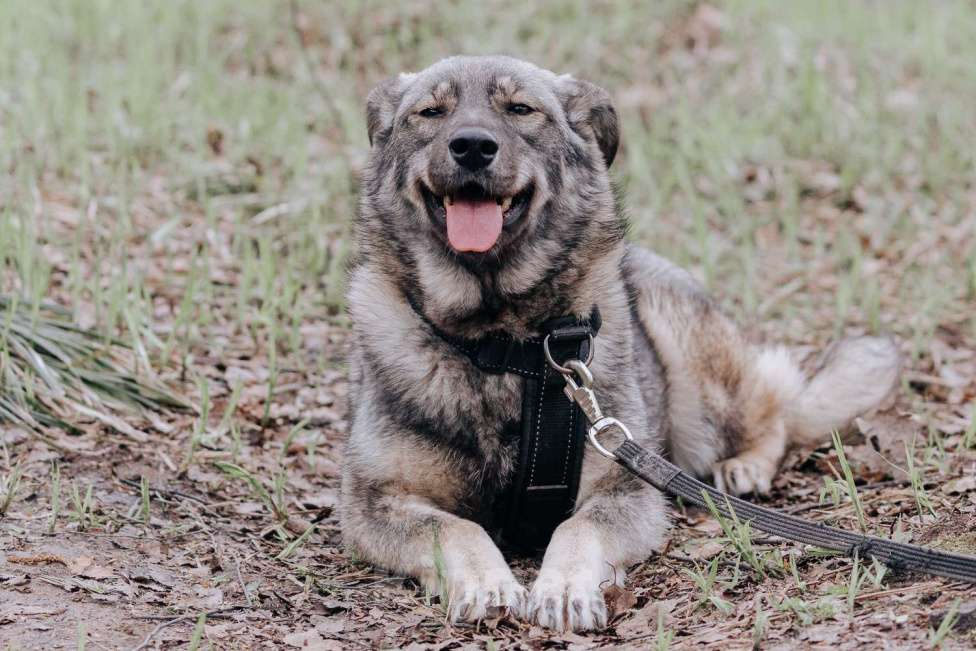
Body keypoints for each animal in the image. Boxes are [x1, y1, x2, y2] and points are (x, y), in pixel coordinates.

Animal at [342, 54, 900, 632]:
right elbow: (454, 527)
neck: (500, 344)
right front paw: (486, 582)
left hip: (690, 362)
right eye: (431, 113)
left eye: (521, 109)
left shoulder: (627, 489)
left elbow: (578, 528)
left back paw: (744, 464)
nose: (472, 145)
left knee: (774, 413)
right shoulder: (374, 502)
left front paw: (564, 587)